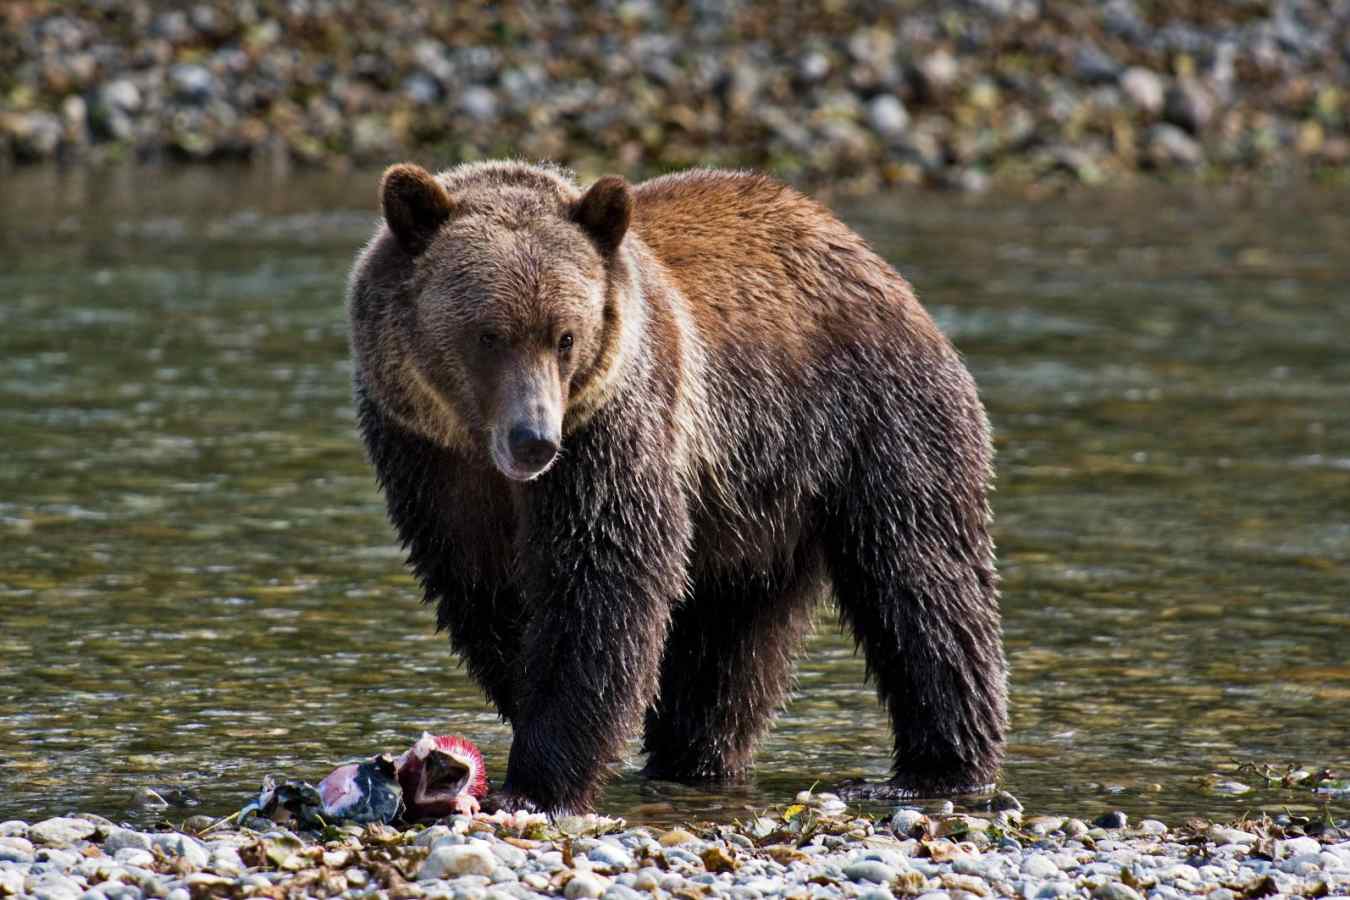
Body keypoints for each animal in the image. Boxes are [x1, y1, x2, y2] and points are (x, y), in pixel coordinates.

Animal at [347, 160, 1007, 814]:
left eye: (565, 336)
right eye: (488, 335)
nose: (534, 439)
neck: (482, 451)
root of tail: (873, 261)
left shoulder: (613, 431)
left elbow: (602, 582)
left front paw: (537, 783)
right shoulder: (427, 459)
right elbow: (482, 587)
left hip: (874, 423)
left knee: (921, 580)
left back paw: (935, 768)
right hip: (750, 505)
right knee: (730, 643)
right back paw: (695, 758)